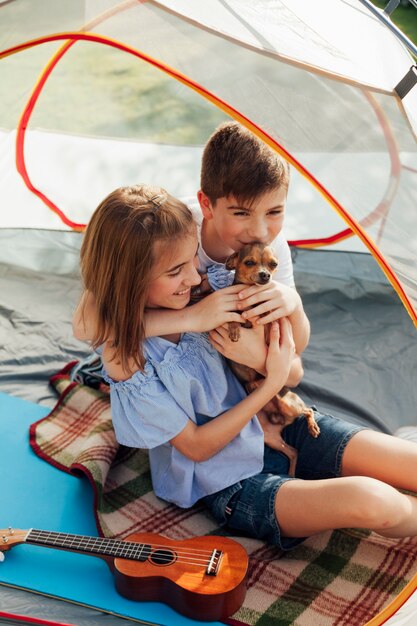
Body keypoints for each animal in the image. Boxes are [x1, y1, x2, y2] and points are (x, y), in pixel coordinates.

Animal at [224, 243, 318, 472]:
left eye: (273, 264)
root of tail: (280, 420)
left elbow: (266, 321)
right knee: (293, 451)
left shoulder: (271, 320)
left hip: (288, 404)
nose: (265, 275)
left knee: (308, 410)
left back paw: (313, 427)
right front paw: (235, 327)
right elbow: (234, 314)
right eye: (249, 262)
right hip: (270, 437)